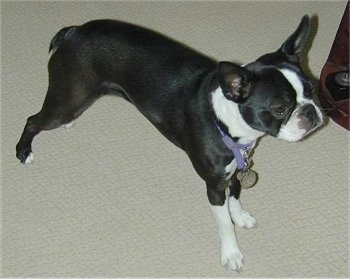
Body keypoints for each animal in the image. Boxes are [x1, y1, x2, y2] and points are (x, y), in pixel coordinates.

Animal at [15, 14, 322, 272]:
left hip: (77, 98)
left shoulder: (235, 166)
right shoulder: (213, 185)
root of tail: (74, 31)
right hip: (65, 101)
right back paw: (23, 150)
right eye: (280, 108)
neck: (225, 119)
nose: (310, 112)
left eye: (313, 90)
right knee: (33, 120)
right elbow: (224, 223)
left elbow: (236, 193)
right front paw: (231, 253)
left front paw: (241, 216)